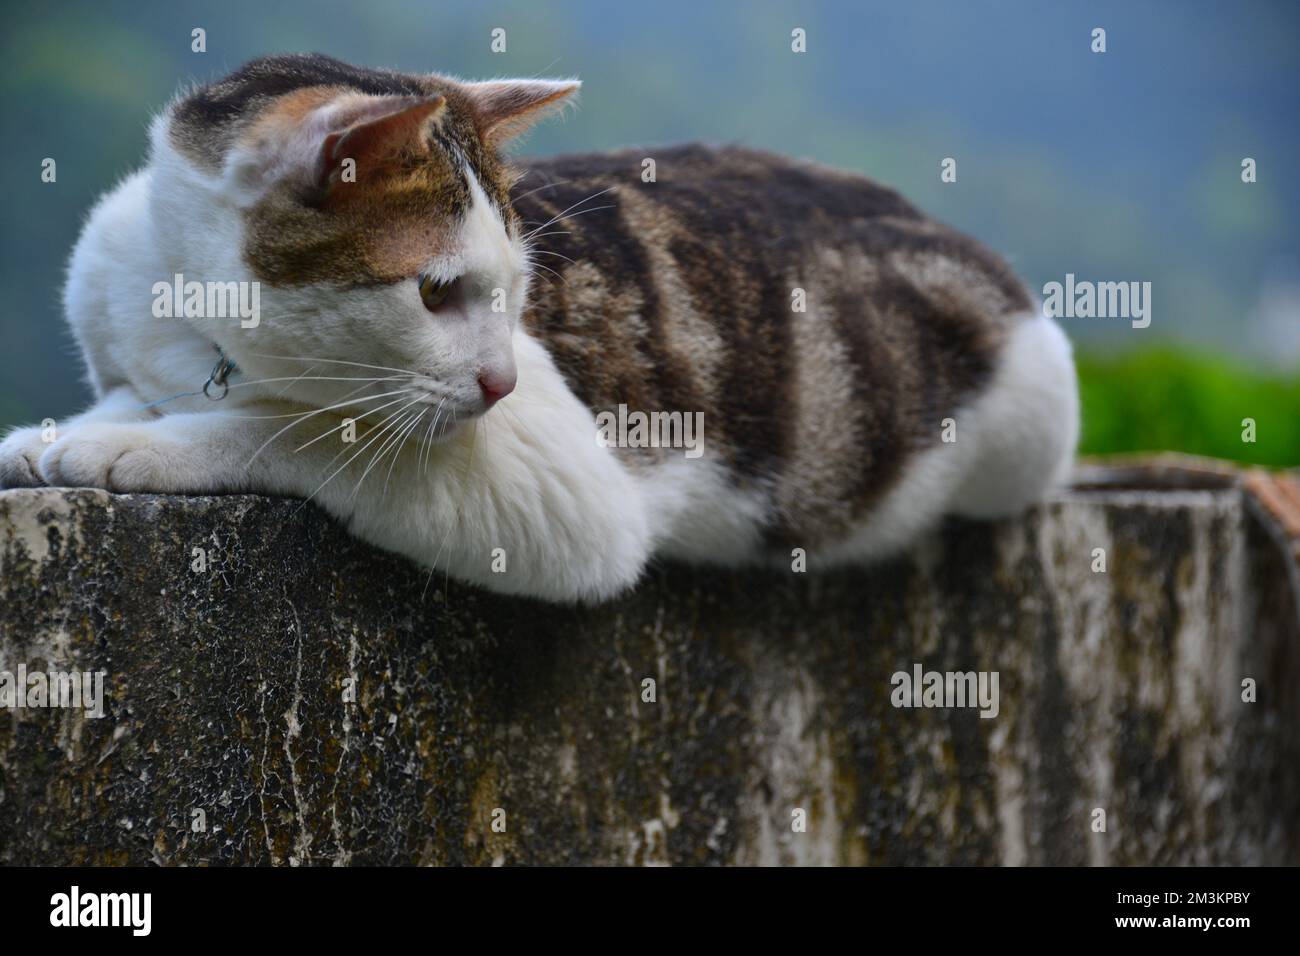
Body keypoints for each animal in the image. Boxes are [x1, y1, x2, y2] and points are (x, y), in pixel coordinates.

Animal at [0, 54, 1076, 598]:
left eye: (517, 291)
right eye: (437, 293)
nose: (500, 382)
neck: (192, 320)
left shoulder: (564, 488)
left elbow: (306, 427)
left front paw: (137, 444)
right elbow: (130, 391)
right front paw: (61, 430)